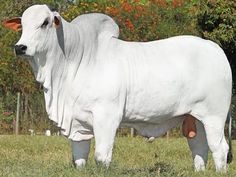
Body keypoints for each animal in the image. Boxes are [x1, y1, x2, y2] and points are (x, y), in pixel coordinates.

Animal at [3, 4, 232, 171]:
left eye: (44, 23)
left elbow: (101, 156)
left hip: (214, 116)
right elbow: (79, 157)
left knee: (220, 148)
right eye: (22, 24)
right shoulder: (77, 122)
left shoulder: (107, 115)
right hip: (194, 117)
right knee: (199, 147)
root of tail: (215, 49)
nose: (20, 47)